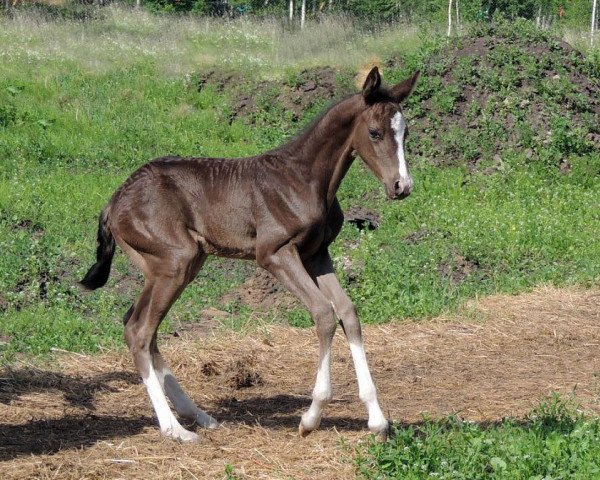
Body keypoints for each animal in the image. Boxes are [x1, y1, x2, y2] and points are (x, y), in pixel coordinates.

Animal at [79, 67, 420, 442]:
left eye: (405, 132)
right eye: (374, 132)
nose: (402, 187)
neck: (305, 179)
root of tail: (114, 201)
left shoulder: (317, 255)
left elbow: (348, 312)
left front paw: (378, 420)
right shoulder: (275, 253)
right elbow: (323, 314)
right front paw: (311, 417)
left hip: (176, 264)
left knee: (140, 326)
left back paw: (198, 416)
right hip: (174, 262)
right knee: (139, 330)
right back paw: (175, 429)